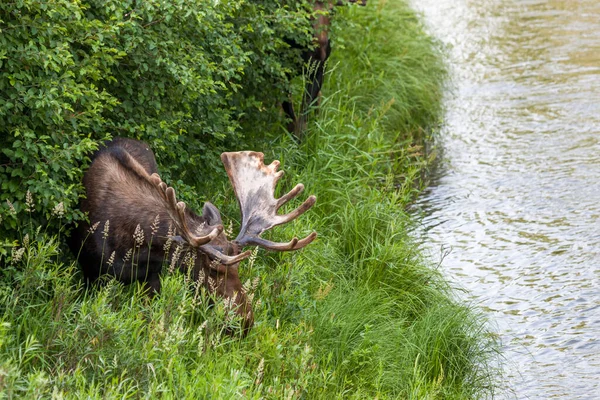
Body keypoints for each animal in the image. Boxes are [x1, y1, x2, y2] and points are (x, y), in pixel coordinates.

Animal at [68, 138, 316, 334]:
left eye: (238, 267)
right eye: (214, 269)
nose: (245, 321)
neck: (133, 246)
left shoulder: (152, 277)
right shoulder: (90, 271)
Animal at [284, 0, 368, 137]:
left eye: (332, 11)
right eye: (305, 9)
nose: (320, 46)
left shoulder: (318, 71)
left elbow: (305, 111)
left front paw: (300, 138)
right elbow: (289, 110)